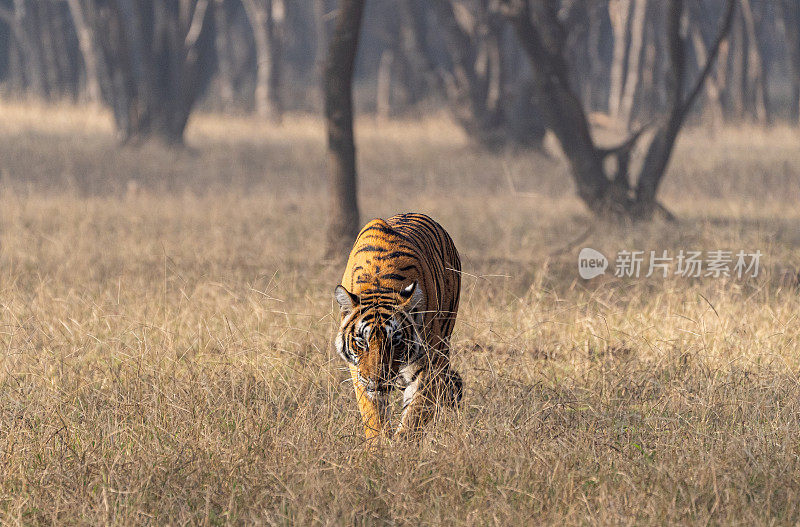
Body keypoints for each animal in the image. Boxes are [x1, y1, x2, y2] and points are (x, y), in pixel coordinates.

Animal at [334, 211, 462, 442]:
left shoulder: (429, 363)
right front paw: (379, 446)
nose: (377, 381)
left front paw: (401, 447)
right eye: (361, 342)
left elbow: (414, 415)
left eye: (395, 341)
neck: (378, 283)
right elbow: (372, 415)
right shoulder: (358, 370)